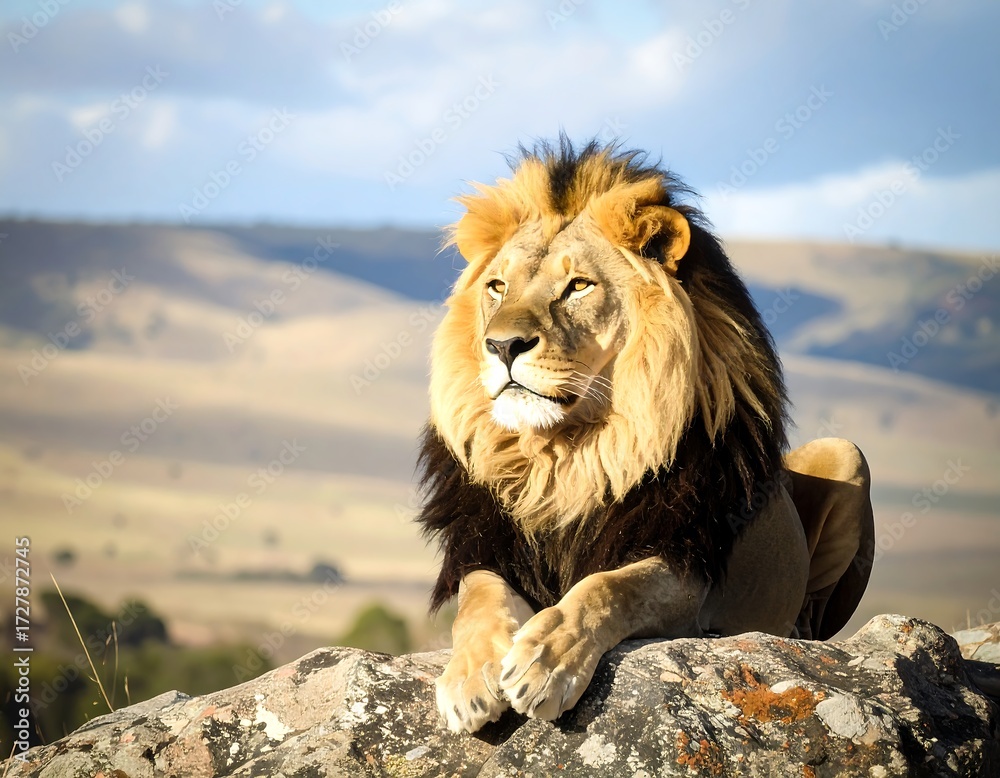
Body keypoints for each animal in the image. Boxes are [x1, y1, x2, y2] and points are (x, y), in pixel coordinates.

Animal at [416, 137, 875, 733]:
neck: (564, 454)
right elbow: (479, 598)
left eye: (577, 286)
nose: (502, 345)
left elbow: (609, 587)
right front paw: (470, 677)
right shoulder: (486, 544)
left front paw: (546, 661)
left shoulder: (685, 566)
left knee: (814, 619)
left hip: (847, 455)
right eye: (497, 287)